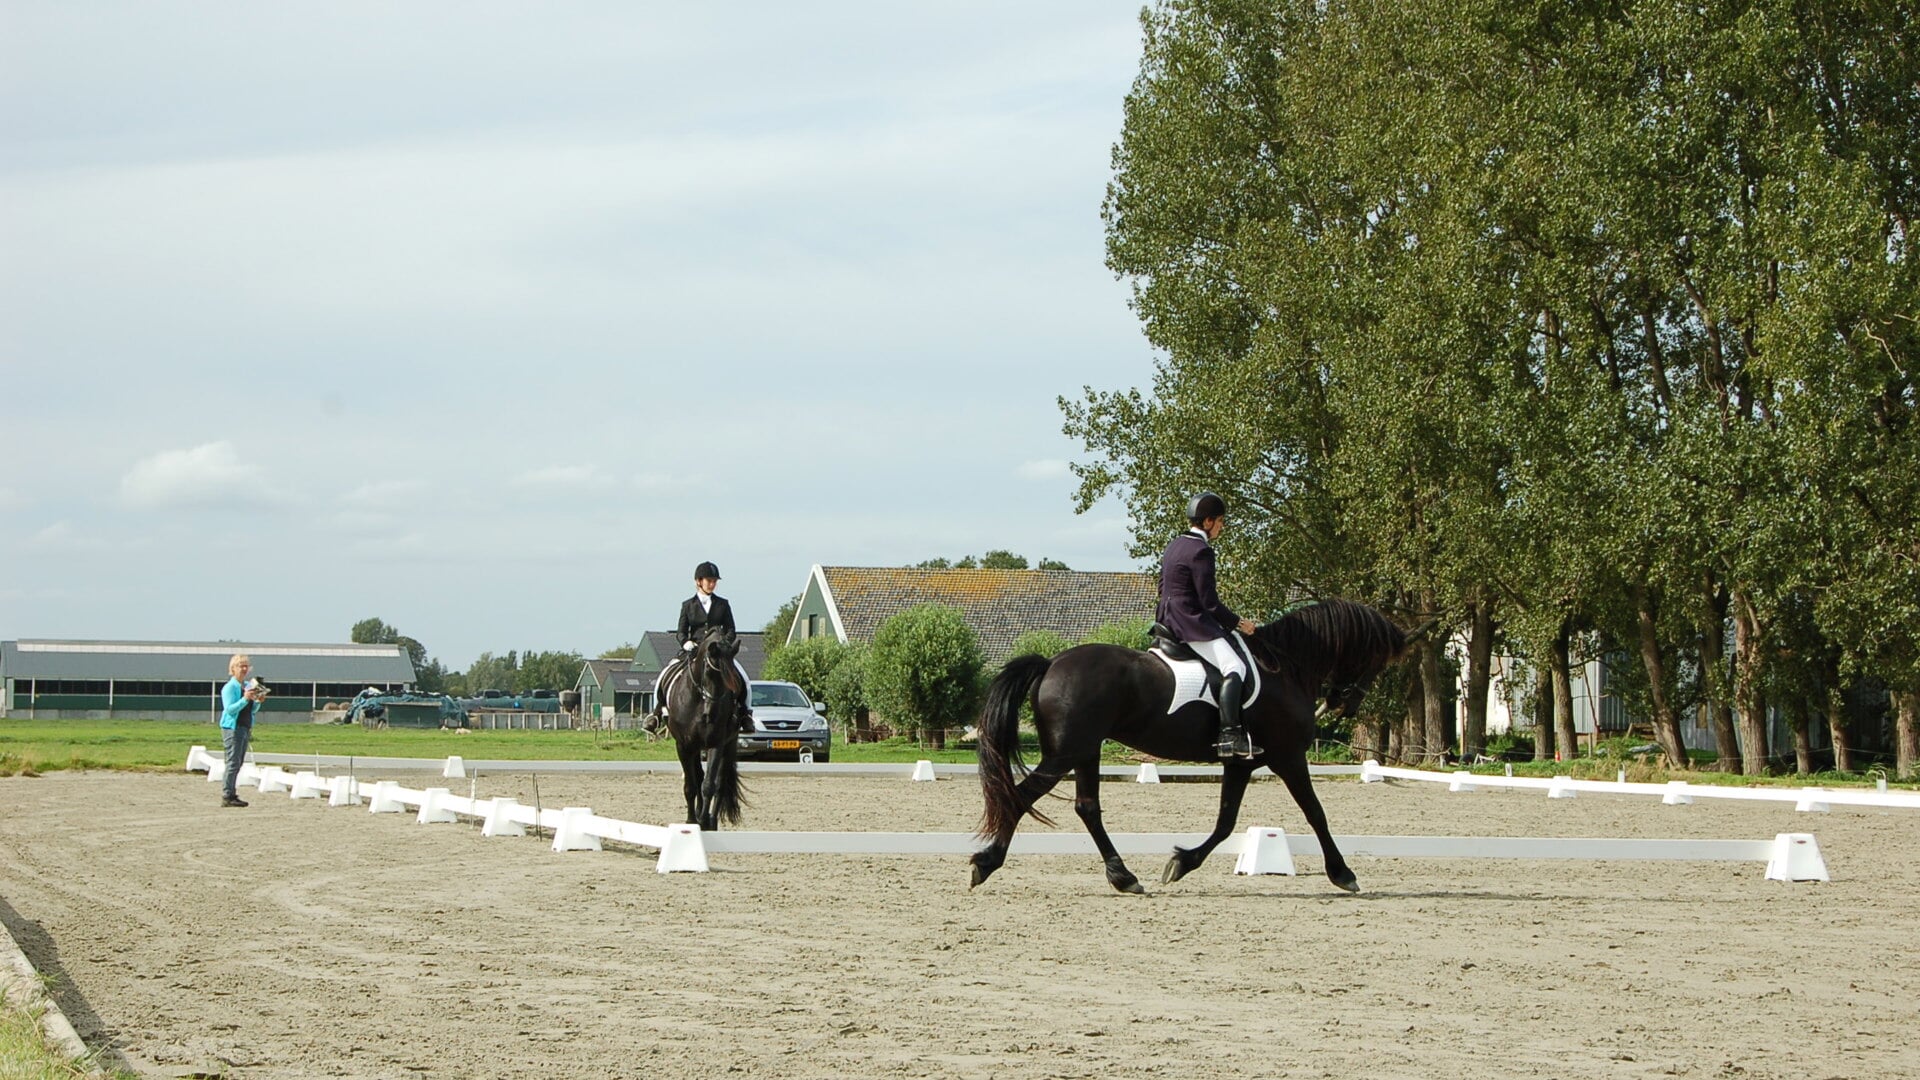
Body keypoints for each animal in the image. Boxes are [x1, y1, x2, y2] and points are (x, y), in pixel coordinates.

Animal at [664, 622, 744, 822]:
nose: (711, 714)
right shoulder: (684, 746)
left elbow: (709, 786)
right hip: (695, 747)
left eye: (733, 677)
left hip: (729, 744)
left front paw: (706, 822)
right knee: (698, 777)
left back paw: (709, 818)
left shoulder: (717, 743)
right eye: (708, 671)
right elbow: (691, 786)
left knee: (720, 783)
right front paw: (692, 821)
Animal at [975, 595, 1413, 891]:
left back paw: (1123, 876)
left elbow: (1226, 822)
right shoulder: (1288, 757)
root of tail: (1050, 663)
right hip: (1066, 753)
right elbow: (1316, 813)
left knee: (1087, 808)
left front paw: (1182, 862)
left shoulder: (1240, 763)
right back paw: (986, 863)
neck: (1286, 668)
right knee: (1022, 796)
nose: (1345, 703)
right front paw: (1343, 873)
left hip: (1085, 750)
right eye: (1376, 660)